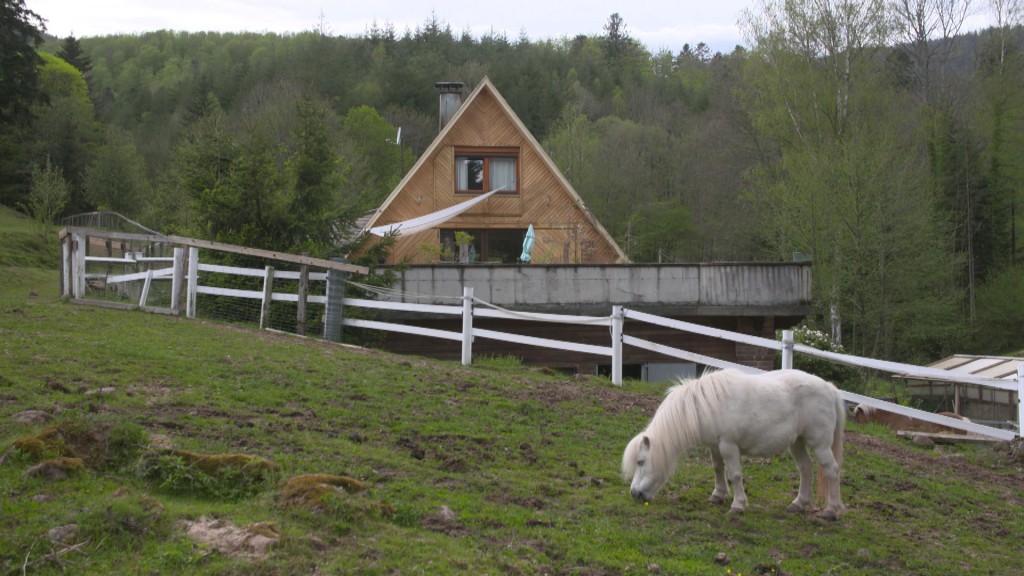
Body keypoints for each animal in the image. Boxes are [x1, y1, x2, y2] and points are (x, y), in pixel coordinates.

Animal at [622, 366, 847, 520]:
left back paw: (831, 510)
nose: (634, 493)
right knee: (805, 468)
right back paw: (799, 503)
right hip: (797, 442)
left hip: (820, 444)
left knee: (832, 470)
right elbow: (717, 469)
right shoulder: (714, 447)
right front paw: (717, 495)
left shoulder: (728, 446)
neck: (706, 405)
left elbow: (735, 474)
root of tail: (829, 388)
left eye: (641, 462)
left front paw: (737, 505)